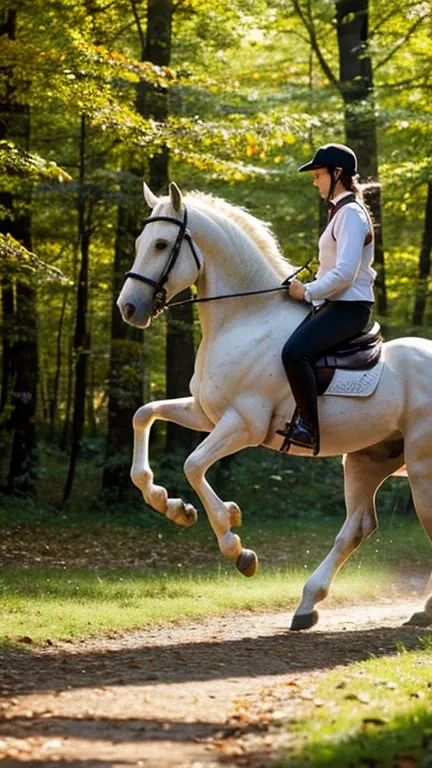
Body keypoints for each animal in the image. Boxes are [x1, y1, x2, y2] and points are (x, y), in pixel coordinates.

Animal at [116, 182, 430, 632]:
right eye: (140, 243)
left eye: (160, 244)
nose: (128, 308)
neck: (245, 319)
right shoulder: (205, 413)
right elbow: (144, 415)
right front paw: (170, 505)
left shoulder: (243, 424)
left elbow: (193, 465)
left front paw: (235, 544)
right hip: (366, 461)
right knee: (357, 527)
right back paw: (309, 605)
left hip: (421, 468)